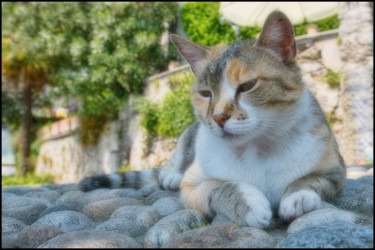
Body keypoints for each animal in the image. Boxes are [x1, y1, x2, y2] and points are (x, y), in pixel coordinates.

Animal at [78, 10, 346, 229]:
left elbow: (312, 179)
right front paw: (249, 205)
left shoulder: (335, 168)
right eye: (205, 93)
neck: (259, 149)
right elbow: (222, 186)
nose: (218, 117)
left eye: (247, 86)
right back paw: (170, 175)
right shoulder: (194, 187)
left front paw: (297, 196)